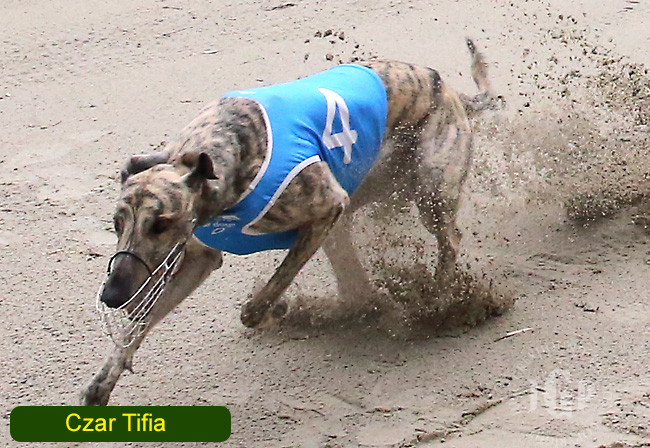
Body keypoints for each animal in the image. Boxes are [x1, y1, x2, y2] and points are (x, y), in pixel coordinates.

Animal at [81, 38, 502, 406]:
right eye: (116, 223)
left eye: (161, 224)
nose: (112, 296)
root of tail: (447, 89)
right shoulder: (200, 257)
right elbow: (140, 324)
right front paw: (102, 382)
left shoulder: (327, 208)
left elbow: (273, 285)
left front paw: (265, 309)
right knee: (360, 276)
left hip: (430, 191)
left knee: (450, 239)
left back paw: (437, 296)